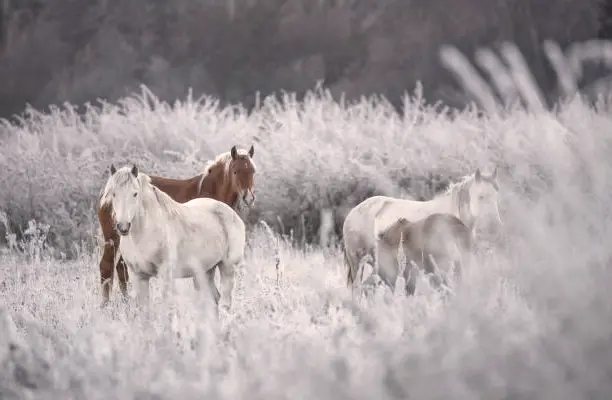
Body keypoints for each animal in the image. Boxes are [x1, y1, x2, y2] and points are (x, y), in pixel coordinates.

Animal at [98, 145, 256, 304]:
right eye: (236, 171)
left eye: (253, 171)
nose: (248, 198)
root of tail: (103, 196)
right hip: (112, 240)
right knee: (108, 267)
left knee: (119, 268)